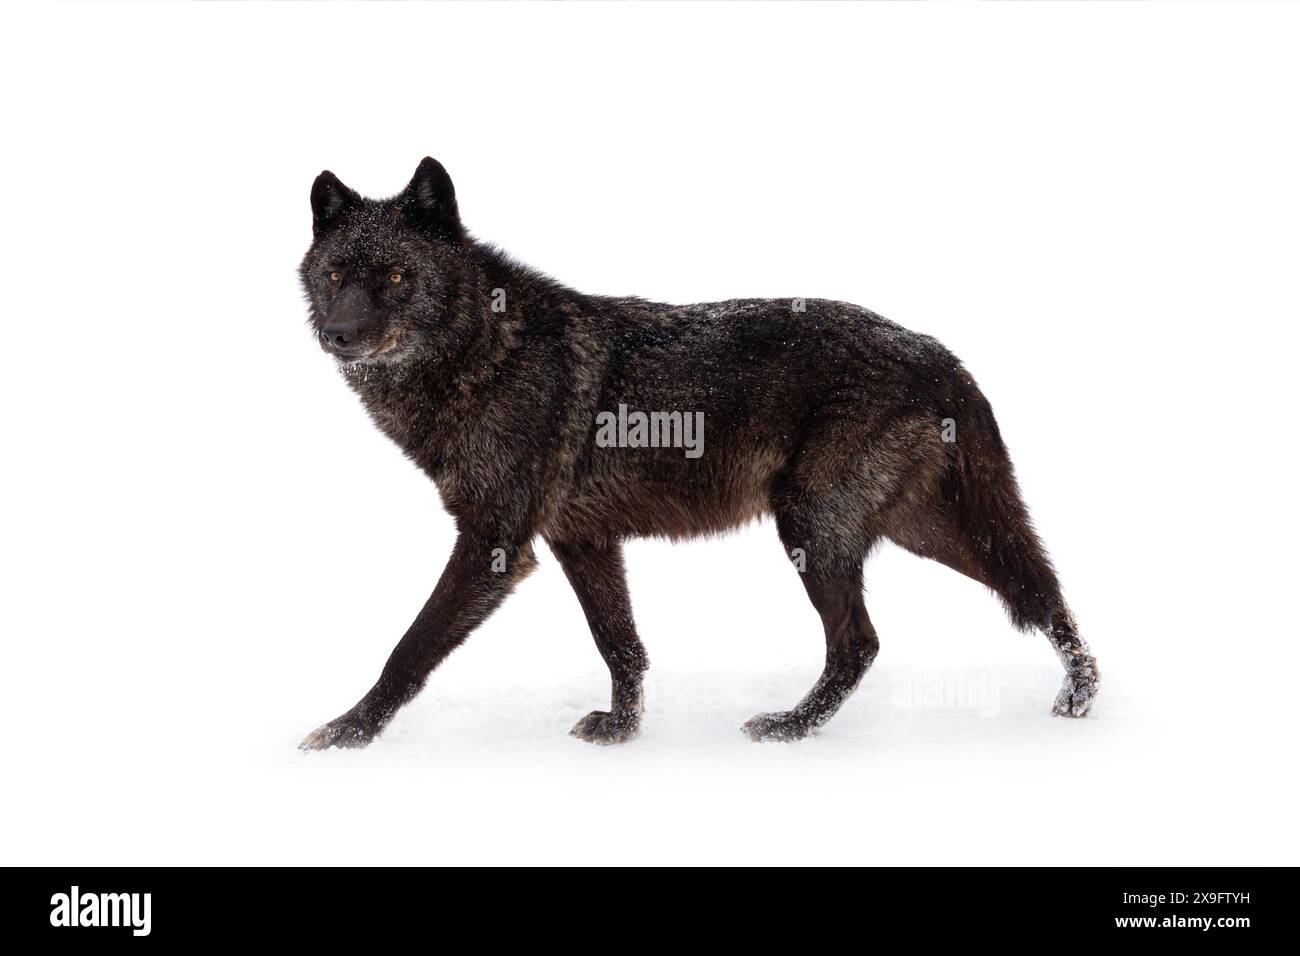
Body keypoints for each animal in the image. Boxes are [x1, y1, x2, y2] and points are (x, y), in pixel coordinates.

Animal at [297, 157, 1098, 749]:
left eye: (396, 276)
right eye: (335, 275)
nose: (337, 335)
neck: (485, 350)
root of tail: (937, 353)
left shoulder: (494, 544)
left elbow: (411, 647)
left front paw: (345, 734)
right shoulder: (581, 539)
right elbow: (620, 644)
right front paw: (622, 729)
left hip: (818, 528)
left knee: (864, 641)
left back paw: (790, 727)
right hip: (923, 530)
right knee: (1035, 590)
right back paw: (1078, 695)